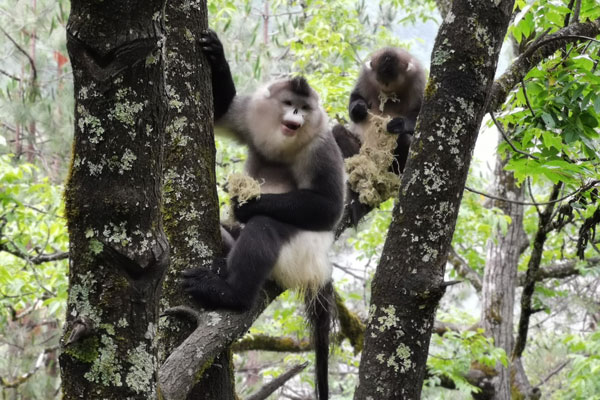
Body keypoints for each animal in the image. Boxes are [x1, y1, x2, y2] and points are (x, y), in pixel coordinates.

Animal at [180, 29, 344, 398]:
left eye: (305, 108)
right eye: (289, 102)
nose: (296, 112)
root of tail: (320, 268)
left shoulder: (321, 146)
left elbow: (331, 208)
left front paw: (246, 203)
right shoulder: (252, 117)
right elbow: (220, 114)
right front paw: (216, 54)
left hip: (299, 253)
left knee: (264, 229)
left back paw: (230, 293)